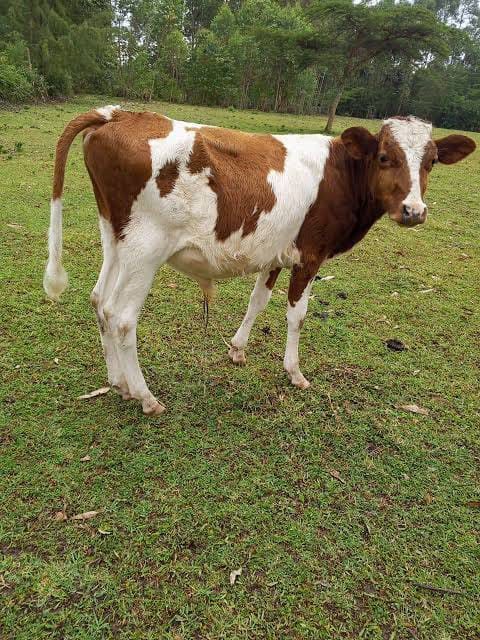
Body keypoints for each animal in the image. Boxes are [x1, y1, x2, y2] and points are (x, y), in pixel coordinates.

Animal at [43, 106, 475, 415]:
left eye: (432, 161)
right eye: (385, 157)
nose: (414, 211)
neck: (341, 172)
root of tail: (118, 113)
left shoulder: (276, 252)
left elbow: (258, 301)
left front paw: (237, 349)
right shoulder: (311, 255)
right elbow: (296, 315)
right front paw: (294, 372)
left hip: (116, 238)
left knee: (99, 300)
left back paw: (118, 383)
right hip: (145, 249)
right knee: (121, 316)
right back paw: (145, 395)